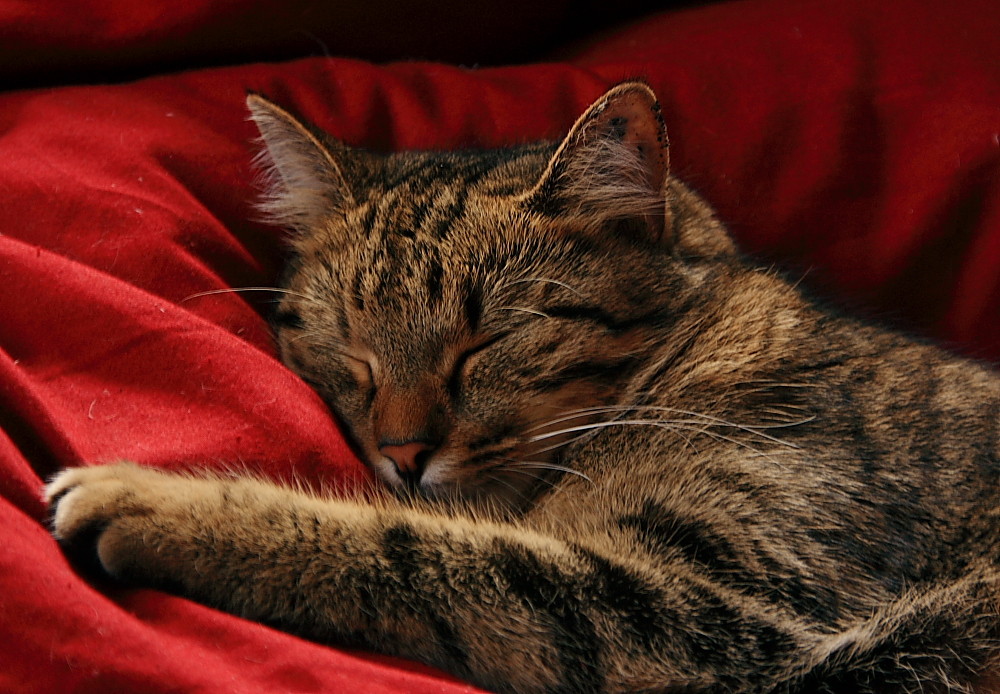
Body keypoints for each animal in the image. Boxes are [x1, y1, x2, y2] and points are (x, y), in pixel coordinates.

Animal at [45, 83, 1000, 694]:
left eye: (486, 344)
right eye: (350, 351)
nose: (400, 453)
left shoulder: (722, 608)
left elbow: (409, 550)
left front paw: (149, 500)